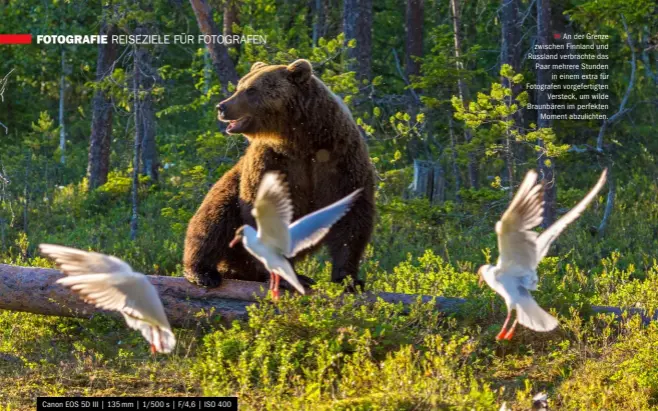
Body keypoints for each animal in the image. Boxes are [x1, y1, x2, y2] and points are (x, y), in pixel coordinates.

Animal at [182, 59, 374, 292]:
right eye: (240, 86)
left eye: (250, 90)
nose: (222, 107)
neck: (300, 141)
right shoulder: (270, 161)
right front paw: (285, 278)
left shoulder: (341, 157)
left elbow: (352, 214)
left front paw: (349, 280)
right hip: (232, 187)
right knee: (214, 218)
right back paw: (204, 272)